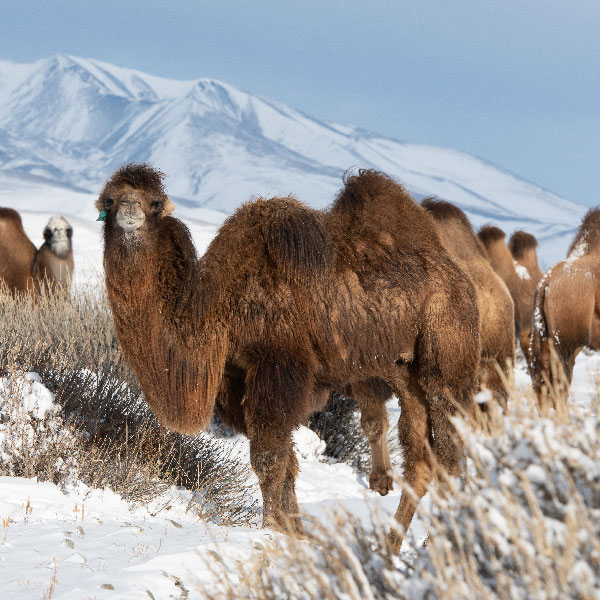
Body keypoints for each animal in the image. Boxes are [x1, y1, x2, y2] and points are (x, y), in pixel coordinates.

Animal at [99, 164, 482, 548]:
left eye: (154, 203)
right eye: (110, 200)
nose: (129, 209)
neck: (214, 305)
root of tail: (458, 275)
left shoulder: (277, 365)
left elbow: (269, 459)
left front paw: (271, 529)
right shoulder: (237, 378)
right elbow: (287, 461)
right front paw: (295, 533)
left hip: (448, 347)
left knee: (449, 446)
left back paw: (439, 542)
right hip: (401, 370)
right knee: (420, 458)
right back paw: (390, 547)